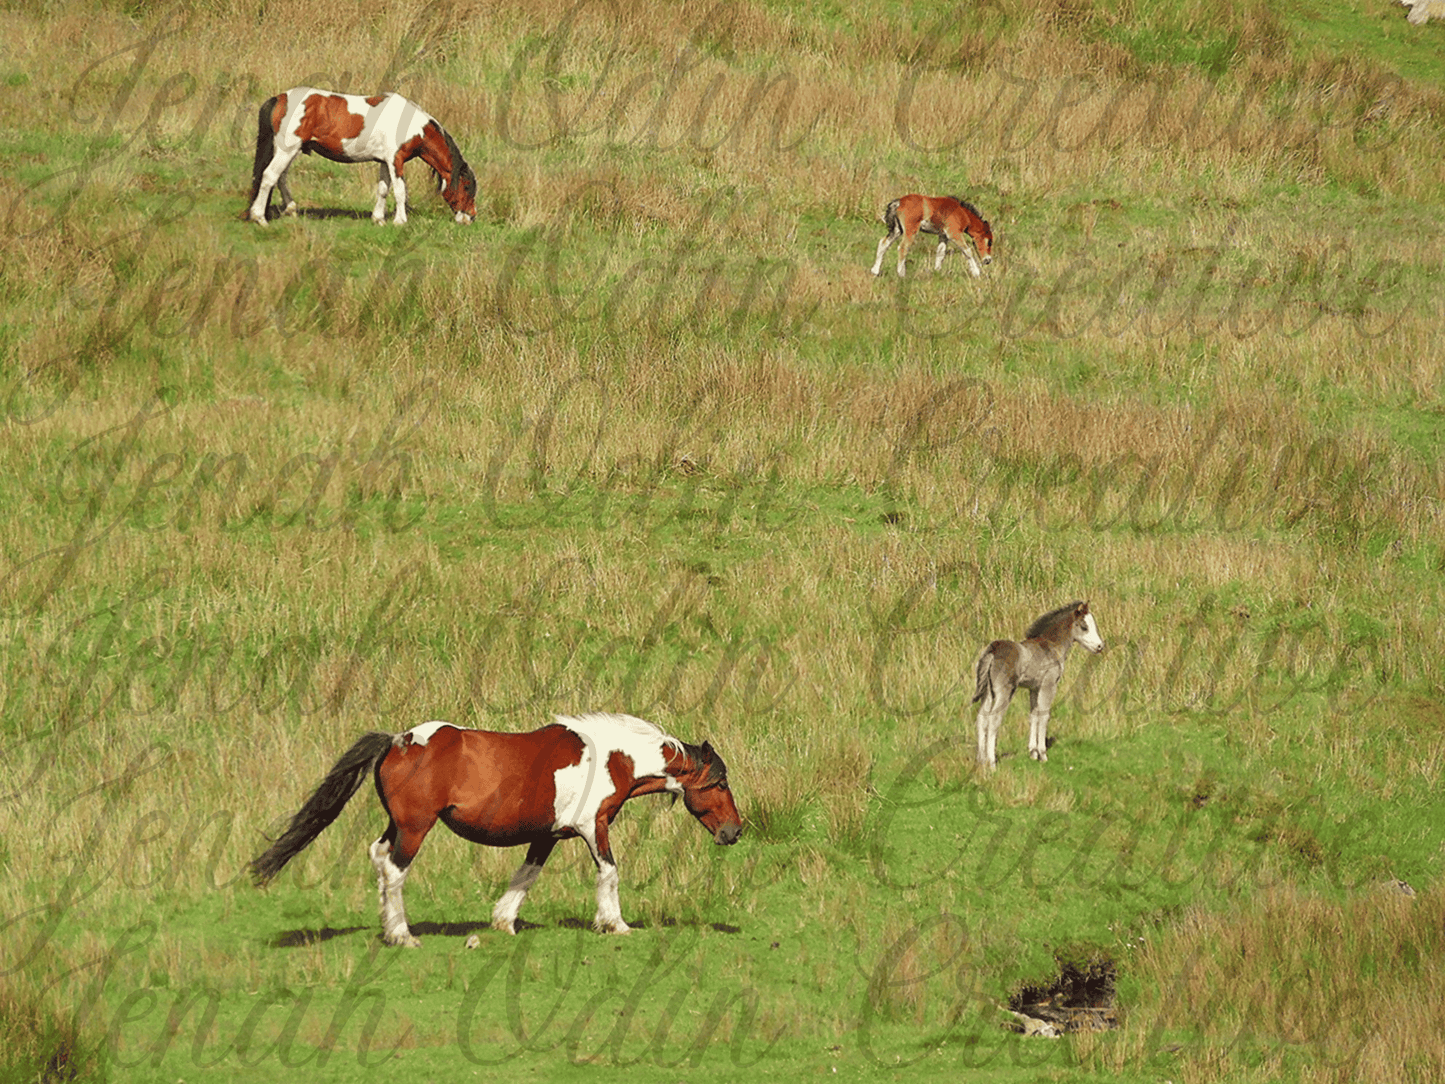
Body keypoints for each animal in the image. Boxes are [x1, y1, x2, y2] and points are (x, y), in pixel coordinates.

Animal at [244, 87, 477, 226]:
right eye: (467, 187)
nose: (470, 217)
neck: (412, 126)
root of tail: (280, 98)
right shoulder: (396, 160)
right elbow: (400, 191)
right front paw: (400, 220)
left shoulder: (384, 161)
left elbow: (383, 190)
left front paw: (378, 219)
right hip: (287, 150)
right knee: (269, 177)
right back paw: (259, 217)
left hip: (288, 150)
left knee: (280, 178)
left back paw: (291, 209)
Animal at [249, 713, 742, 945]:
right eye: (719, 783)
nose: (734, 832)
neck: (613, 757)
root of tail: (398, 741)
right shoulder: (594, 826)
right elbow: (610, 873)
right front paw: (616, 924)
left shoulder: (547, 835)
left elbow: (526, 876)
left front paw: (503, 921)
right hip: (415, 827)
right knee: (394, 870)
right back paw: (402, 935)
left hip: (396, 825)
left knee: (378, 857)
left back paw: (389, 929)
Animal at [972, 601, 1104, 769]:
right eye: (1084, 626)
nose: (1100, 646)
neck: (1051, 646)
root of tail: (992, 649)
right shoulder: (1049, 686)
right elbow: (1044, 715)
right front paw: (1042, 754)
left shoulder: (1034, 688)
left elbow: (1033, 715)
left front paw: (1033, 753)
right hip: (1004, 692)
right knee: (993, 719)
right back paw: (992, 763)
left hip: (988, 692)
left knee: (981, 718)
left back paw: (981, 761)